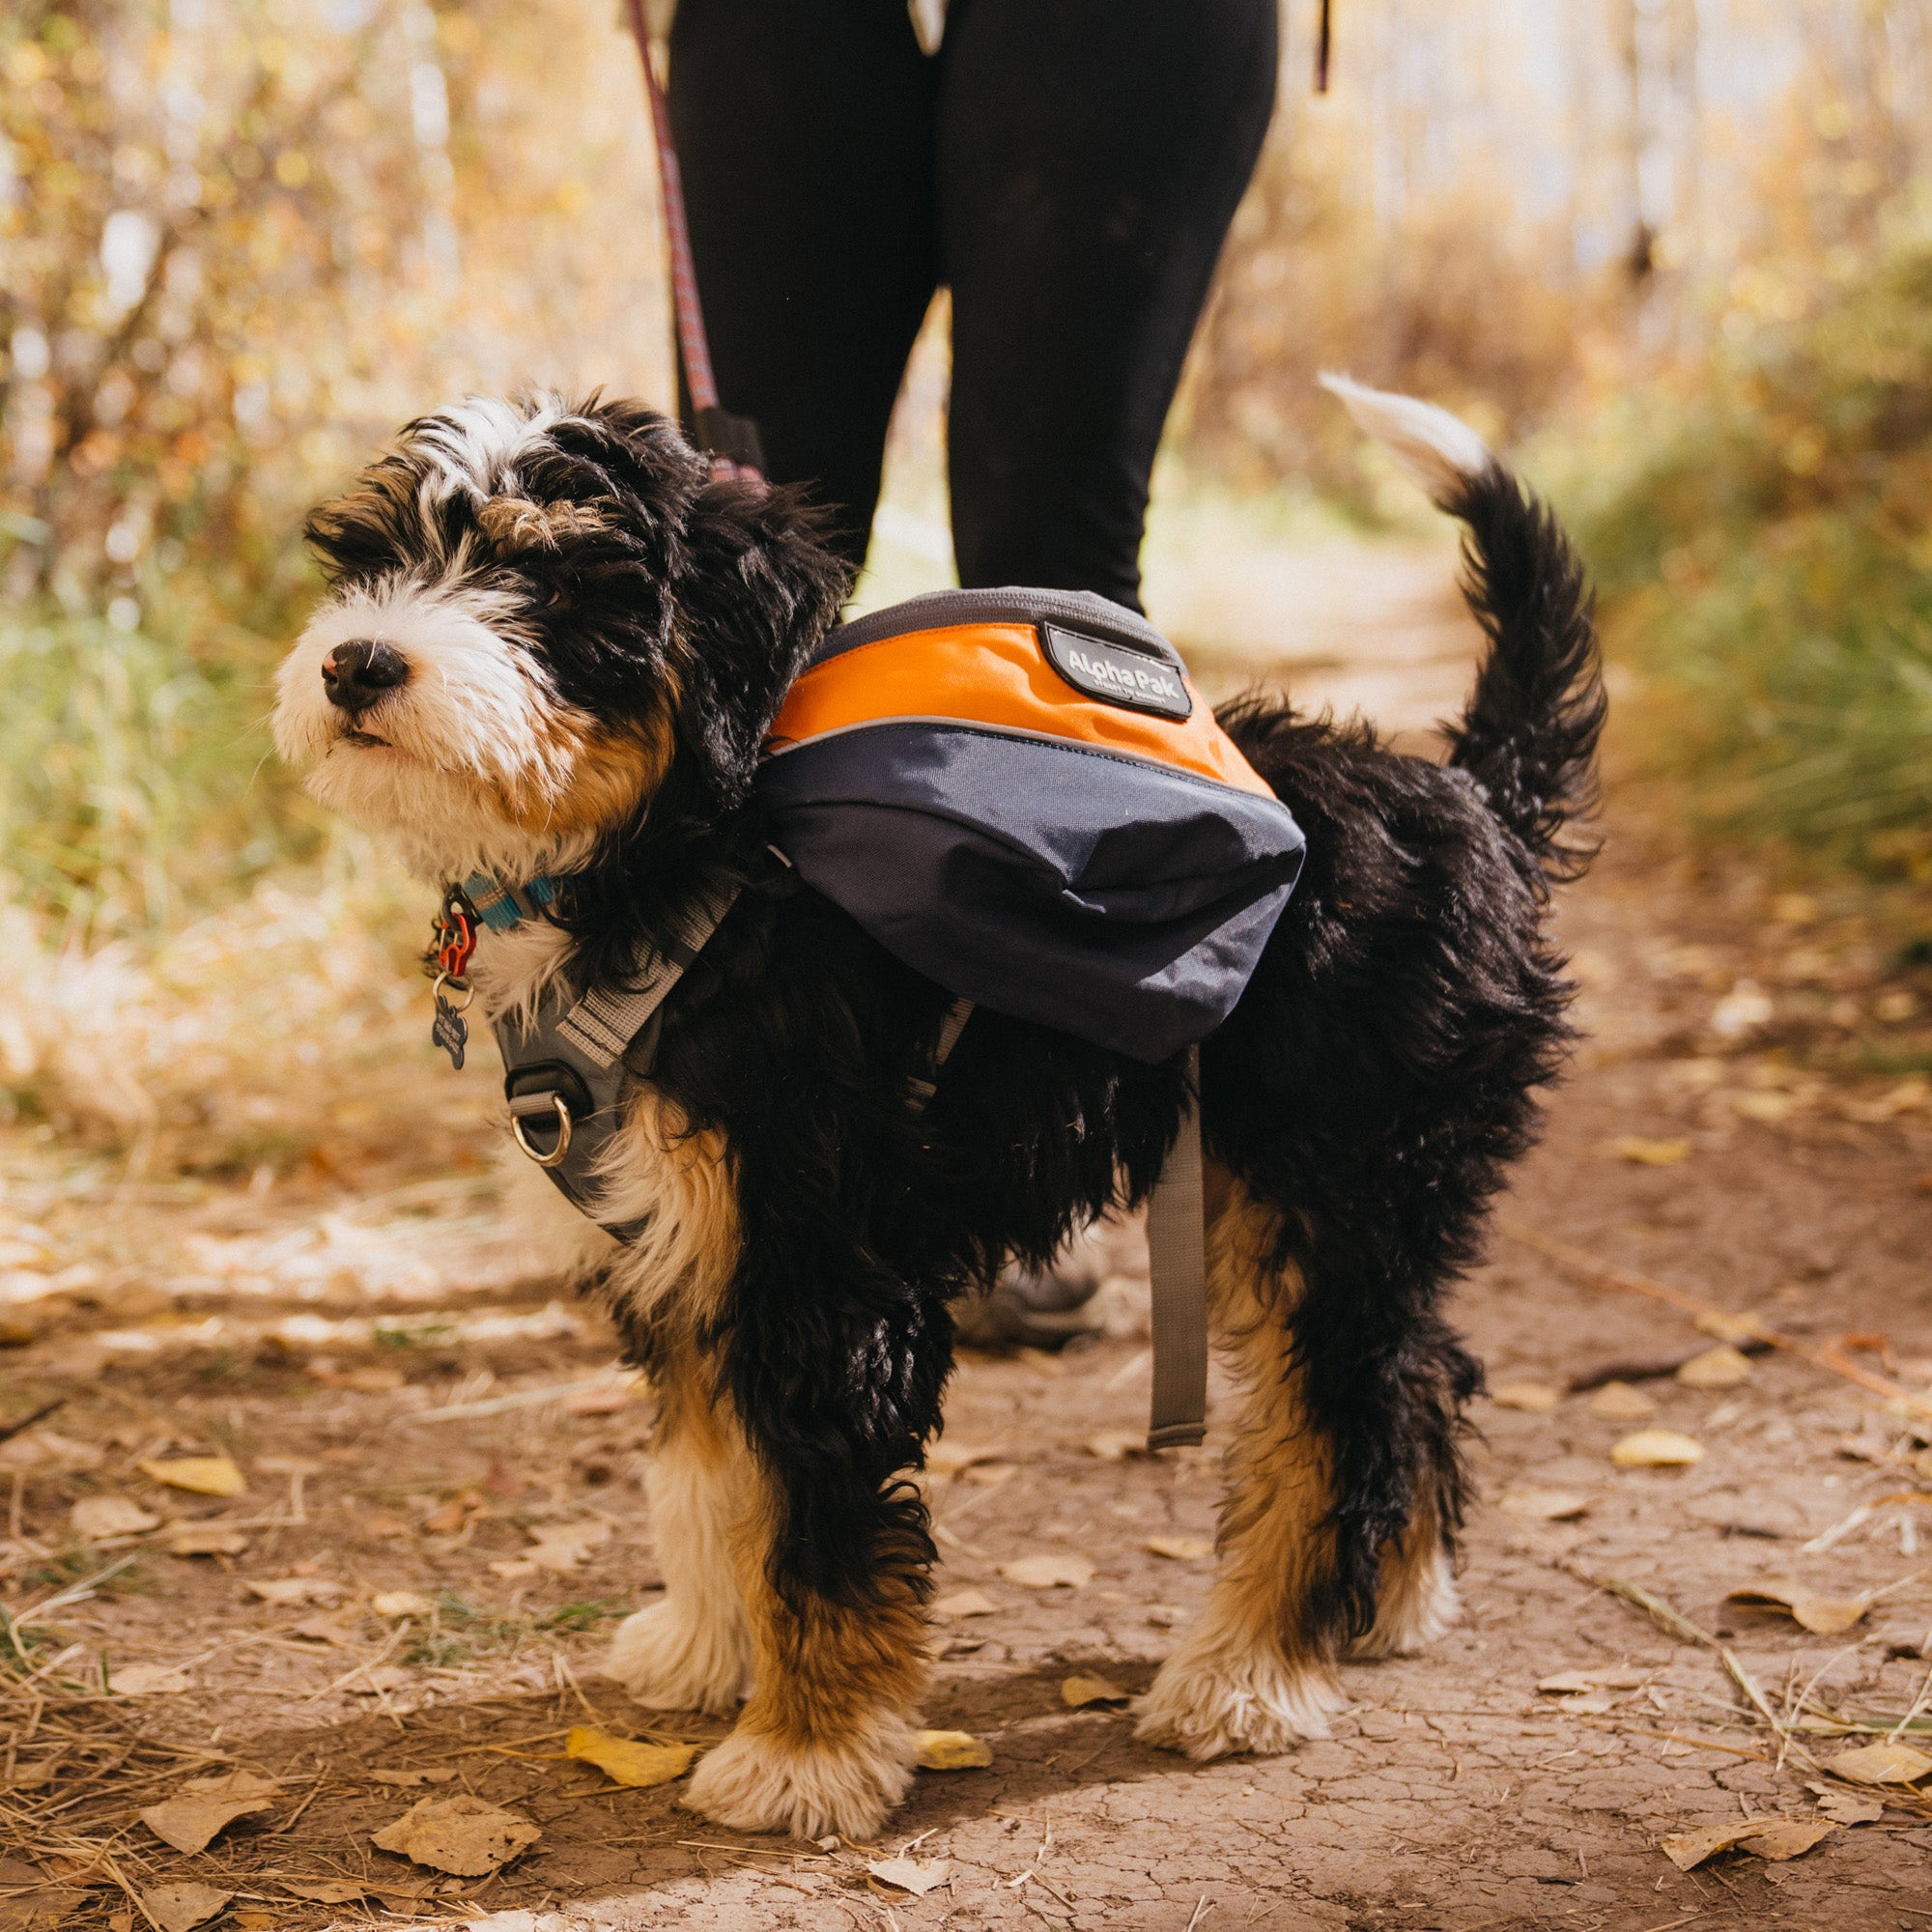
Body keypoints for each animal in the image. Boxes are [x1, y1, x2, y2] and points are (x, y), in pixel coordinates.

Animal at [269, 381, 1600, 1839]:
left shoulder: (823, 1270)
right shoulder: (689, 1254)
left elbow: (818, 1521)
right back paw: (1391, 1598)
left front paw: (803, 1753)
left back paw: (1252, 1672)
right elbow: (707, 1474)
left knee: (1333, 1417)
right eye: (373, 559)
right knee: (1414, 1369)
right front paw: (704, 1647)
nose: (358, 665)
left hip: (1332, 1183)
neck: (695, 862)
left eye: (546, 580)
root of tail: (1466, 796)